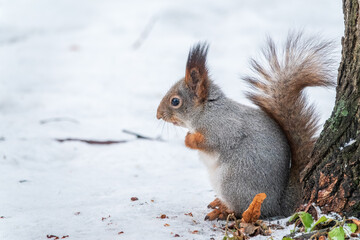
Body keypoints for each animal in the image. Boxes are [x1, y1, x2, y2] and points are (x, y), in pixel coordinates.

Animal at [156, 33, 334, 219]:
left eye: (175, 101)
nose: (158, 115)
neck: (207, 111)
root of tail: (277, 205)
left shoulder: (223, 128)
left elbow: (211, 142)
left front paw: (189, 140)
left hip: (233, 182)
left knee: (241, 210)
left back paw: (222, 211)